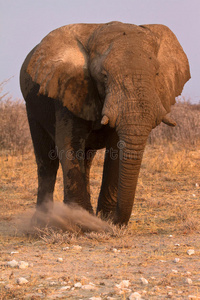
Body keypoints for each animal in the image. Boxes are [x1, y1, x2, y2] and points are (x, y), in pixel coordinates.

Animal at [20, 21, 191, 225]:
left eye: (157, 74)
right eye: (104, 76)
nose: (116, 221)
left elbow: (116, 149)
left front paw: (103, 220)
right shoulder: (68, 91)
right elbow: (68, 145)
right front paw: (81, 223)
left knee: (86, 160)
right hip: (32, 107)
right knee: (47, 161)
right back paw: (40, 222)